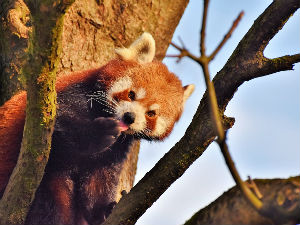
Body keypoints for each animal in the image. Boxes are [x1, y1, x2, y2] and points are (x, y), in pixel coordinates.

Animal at [0, 33, 195, 225]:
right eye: (131, 94)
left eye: (151, 114)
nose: (129, 117)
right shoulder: (61, 101)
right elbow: (62, 127)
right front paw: (99, 133)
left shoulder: (116, 151)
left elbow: (99, 179)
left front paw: (103, 211)